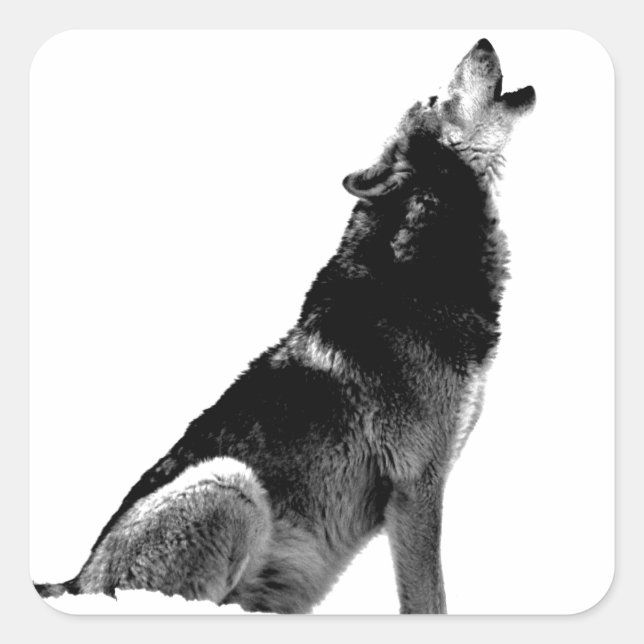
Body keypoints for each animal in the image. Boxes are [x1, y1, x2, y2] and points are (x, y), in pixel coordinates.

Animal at [34, 39, 535, 614]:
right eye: (435, 97)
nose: (483, 42)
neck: (420, 270)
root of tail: (78, 581)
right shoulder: (416, 486)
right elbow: (430, 600)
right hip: (231, 483)